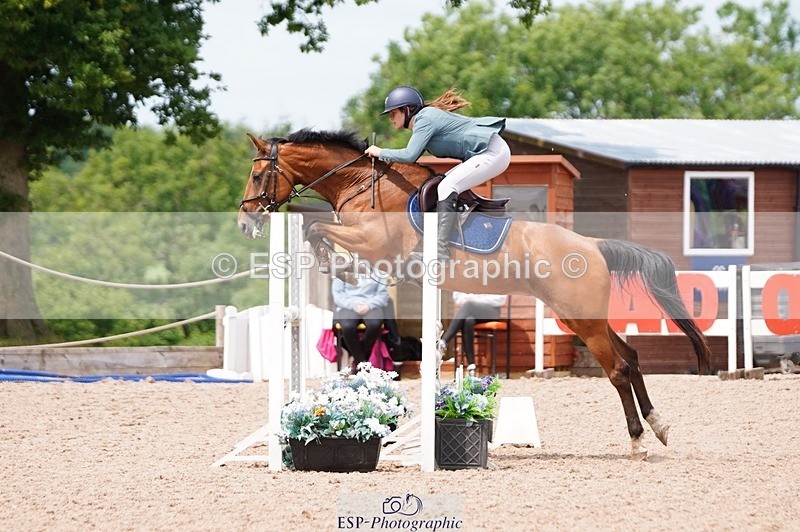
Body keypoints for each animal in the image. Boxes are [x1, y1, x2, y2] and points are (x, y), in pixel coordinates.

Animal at [237, 128, 711, 460]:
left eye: (258, 175)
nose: (245, 222)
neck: (362, 185)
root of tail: (592, 244)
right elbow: (319, 230)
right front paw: (336, 263)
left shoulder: (373, 242)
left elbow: (319, 229)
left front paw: (336, 262)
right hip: (581, 316)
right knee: (630, 356)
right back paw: (659, 426)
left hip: (581, 318)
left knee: (617, 369)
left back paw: (637, 442)